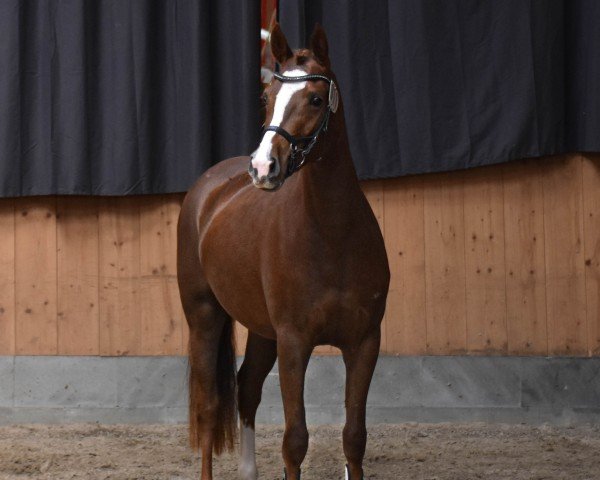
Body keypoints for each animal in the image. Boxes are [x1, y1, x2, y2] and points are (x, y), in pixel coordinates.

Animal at [177, 23, 390, 480]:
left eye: (315, 99)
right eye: (267, 97)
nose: (262, 168)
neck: (332, 236)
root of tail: (209, 187)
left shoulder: (364, 342)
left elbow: (354, 438)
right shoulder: (295, 341)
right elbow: (295, 441)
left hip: (262, 330)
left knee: (246, 389)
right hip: (204, 317)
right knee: (209, 406)